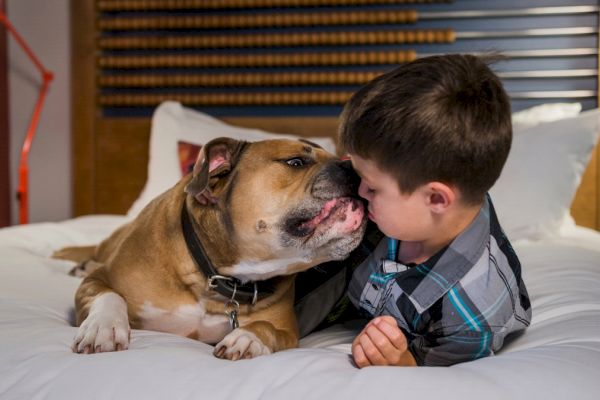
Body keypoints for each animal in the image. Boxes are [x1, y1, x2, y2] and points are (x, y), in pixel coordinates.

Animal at [55, 137, 366, 360]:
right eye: (296, 161)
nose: (353, 168)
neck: (216, 275)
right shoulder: (98, 281)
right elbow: (109, 296)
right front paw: (103, 328)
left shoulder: (287, 331)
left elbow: (266, 328)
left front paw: (248, 338)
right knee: (95, 253)